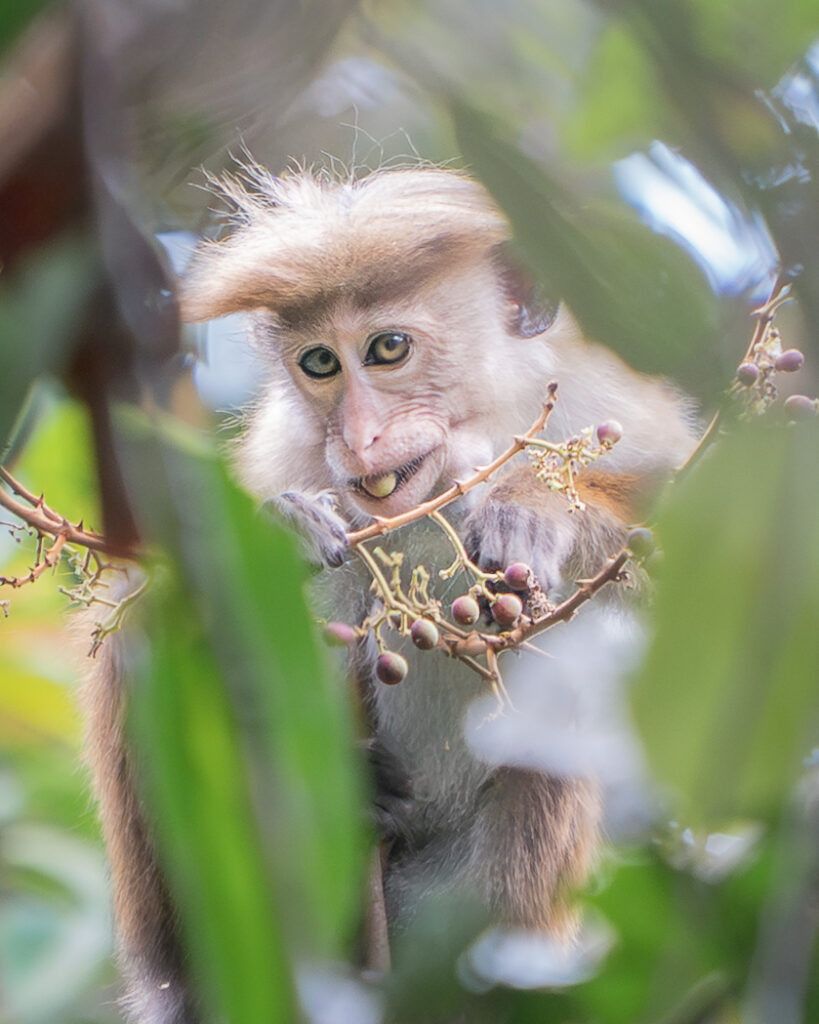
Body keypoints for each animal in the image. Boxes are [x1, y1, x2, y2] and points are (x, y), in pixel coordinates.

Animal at [81, 162, 696, 1022]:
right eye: (319, 364)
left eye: (388, 349)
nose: (358, 437)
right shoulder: (286, 449)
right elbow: (158, 604)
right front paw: (279, 527)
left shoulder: (602, 400)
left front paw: (532, 510)